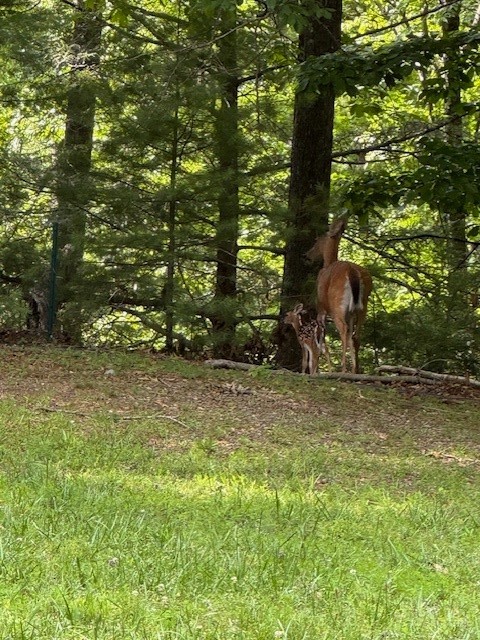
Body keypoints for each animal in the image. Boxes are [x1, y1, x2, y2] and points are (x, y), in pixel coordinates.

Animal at [306, 218, 372, 374]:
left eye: (317, 240)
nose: (307, 255)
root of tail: (352, 271)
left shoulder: (321, 309)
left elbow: (322, 341)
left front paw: (321, 370)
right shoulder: (351, 313)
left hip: (337, 305)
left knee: (343, 330)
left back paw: (343, 369)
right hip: (362, 306)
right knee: (355, 336)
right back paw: (354, 370)